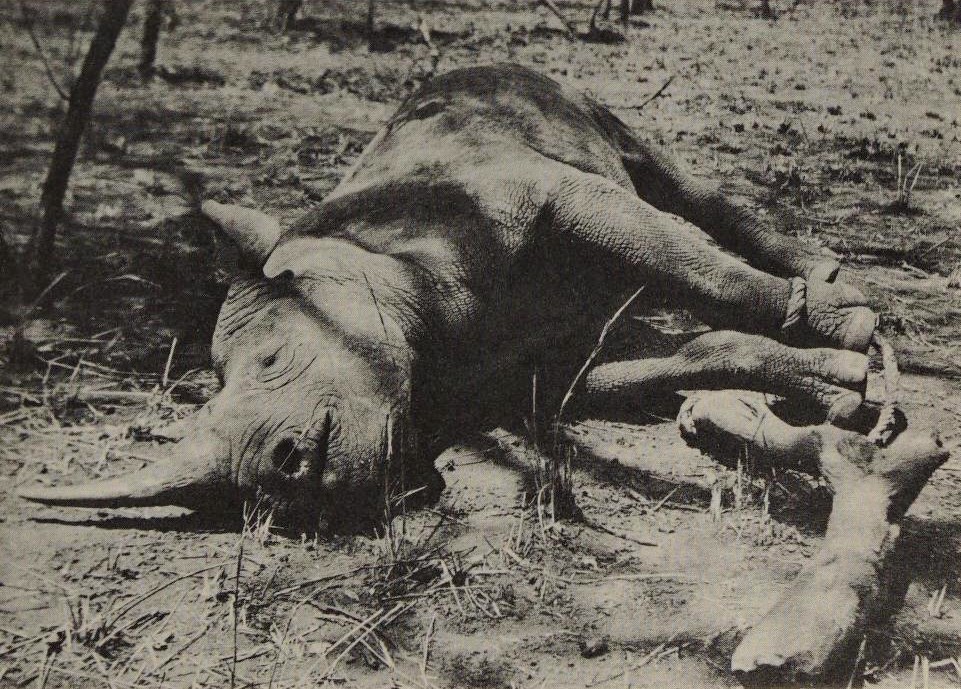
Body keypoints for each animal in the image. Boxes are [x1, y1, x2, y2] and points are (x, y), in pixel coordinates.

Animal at [19, 64, 947, 680]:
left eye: (277, 358)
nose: (278, 478)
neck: (372, 262)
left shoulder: (536, 193)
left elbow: (691, 270)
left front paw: (847, 331)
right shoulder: (531, 369)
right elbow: (669, 358)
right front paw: (836, 391)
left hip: (555, 99)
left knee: (664, 183)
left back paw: (823, 278)